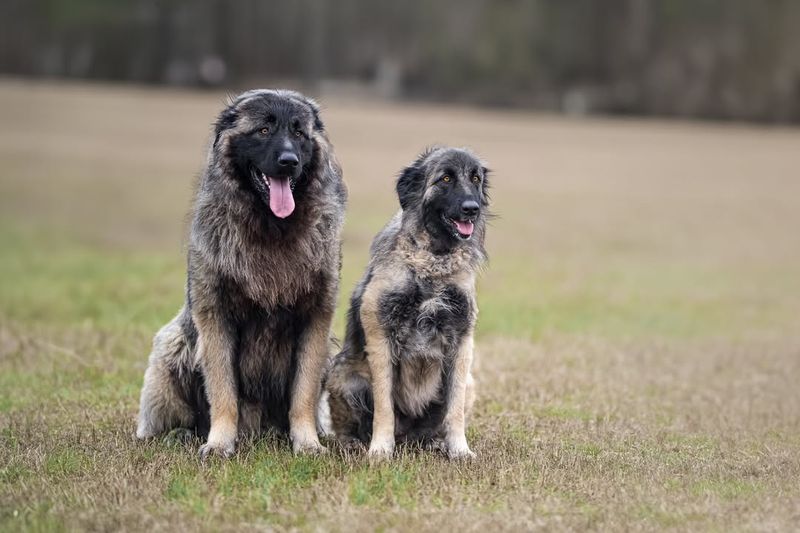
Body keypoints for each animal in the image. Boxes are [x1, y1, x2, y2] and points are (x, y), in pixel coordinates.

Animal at [135, 89, 346, 456]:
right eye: (263, 130)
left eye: (299, 133)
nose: (289, 161)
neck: (272, 229)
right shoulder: (216, 319)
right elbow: (223, 392)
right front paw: (219, 443)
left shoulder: (315, 321)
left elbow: (303, 394)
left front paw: (307, 442)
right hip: (171, 346)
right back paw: (181, 434)